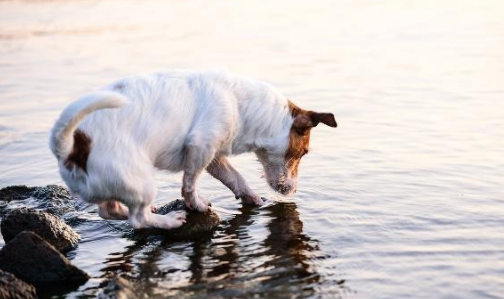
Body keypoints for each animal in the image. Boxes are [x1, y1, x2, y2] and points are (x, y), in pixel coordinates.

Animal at [49, 71, 336, 231]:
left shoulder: (214, 157)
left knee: (109, 211)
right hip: (141, 180)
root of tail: (72, 147)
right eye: (304, 152)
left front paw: (254, 199)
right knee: (138, 219)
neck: (240, 103)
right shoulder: (200, 146)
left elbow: (236, 179)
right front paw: (195, 204)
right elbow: (189, 184)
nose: (293, 192)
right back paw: (168, 221)